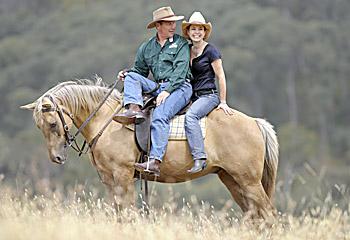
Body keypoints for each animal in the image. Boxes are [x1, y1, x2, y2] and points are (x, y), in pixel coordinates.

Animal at [21, 78, 278, 218]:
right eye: (38, 126)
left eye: (52, 123)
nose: (56, 157)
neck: (108, 120)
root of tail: (255, 122)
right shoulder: (109, 180)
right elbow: (118, 213)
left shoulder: (123, 176)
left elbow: (128, 213)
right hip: (232, 180)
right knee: (255, 215)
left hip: (248, 181)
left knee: (268, 214)